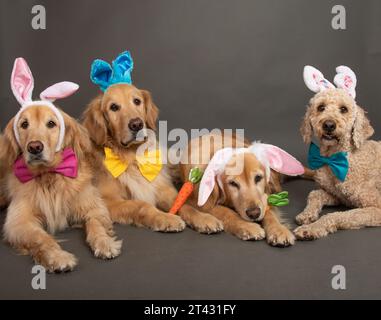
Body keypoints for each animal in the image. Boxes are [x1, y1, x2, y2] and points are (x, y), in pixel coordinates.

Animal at [290, 65, 380, 240]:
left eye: (344, 109)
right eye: (321, 107)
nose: (329, 125)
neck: (335, 157)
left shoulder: (376, 207)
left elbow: (338, 215)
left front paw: (311, 228)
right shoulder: (338, 196)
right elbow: (315, 193)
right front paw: (307, 215)